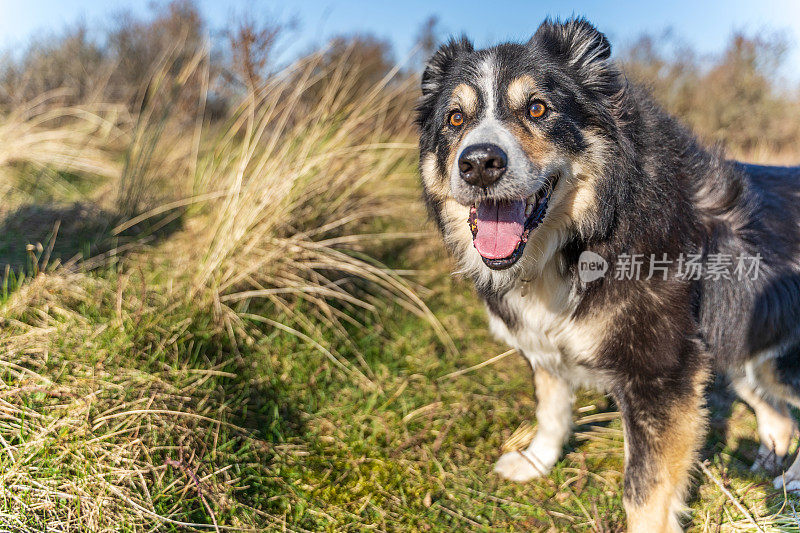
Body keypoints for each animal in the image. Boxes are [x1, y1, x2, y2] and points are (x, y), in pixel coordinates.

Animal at [416, 16, 800, 532]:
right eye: (455, 119)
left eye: (538, 108)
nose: (479, 164)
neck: (587, 235)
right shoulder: (546, 343)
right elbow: (552, 409)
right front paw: (536, 461)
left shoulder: (660, 375)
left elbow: (644, 487)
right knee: (782, 416)